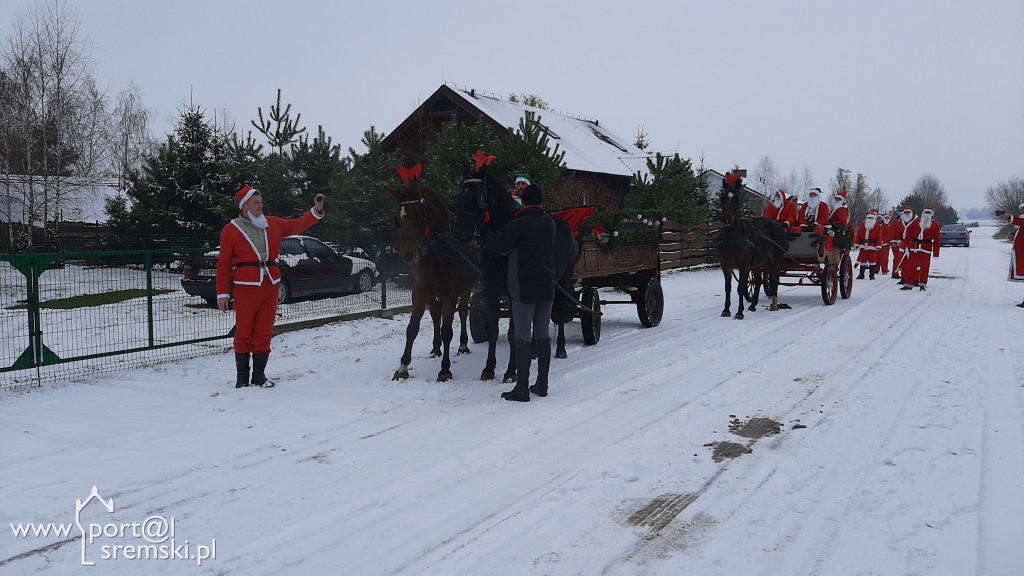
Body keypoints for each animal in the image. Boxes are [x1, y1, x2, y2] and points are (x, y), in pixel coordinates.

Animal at [389, 163, 477, 379]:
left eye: (417, 214)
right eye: (397, 219)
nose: (406, 255)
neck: (438, 251)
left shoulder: (451, 293)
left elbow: (447, 330)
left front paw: (445, 370)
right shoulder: (420, 291)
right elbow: (412, 328)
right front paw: (402, 367)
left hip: (465, 290)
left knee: (463, 312)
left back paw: (463, 344)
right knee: (436, 315)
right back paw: (436, 348)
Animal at [452, 151, 581, 381]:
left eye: (477, 197)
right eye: (460, 196)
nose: (458, 235)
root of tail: (566, 224)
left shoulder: (514, 294)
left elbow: (514, 332)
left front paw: (511, 371)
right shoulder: (492, 290)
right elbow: (495, 329)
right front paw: (489, 368)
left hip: (564, 280)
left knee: (559, 311)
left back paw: (560, 349)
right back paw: (535, 351)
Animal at [716, 175, 786, 317]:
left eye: (737, 198)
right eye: (723, 197)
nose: (727, 219)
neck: (733, 236)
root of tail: (777, 225)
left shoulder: (743, 266)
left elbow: (741, 288)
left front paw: (739, 312)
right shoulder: (725, 265)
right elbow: (728, 288)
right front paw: (726, 310)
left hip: (775, 258)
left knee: (774, 278)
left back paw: (774, 304)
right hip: (758, 262)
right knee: (758, 281)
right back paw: (753, 305)